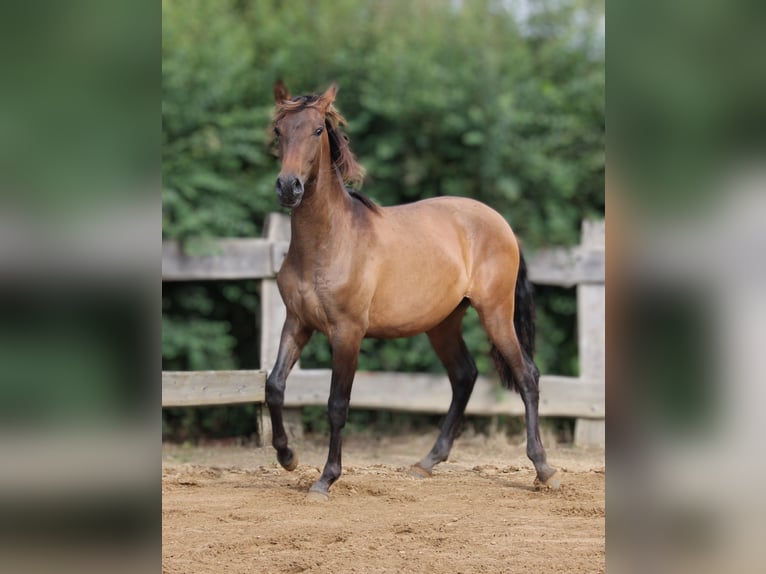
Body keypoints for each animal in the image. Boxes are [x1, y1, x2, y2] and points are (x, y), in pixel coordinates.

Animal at [268, 82, 560, 504]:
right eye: (279, 130)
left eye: (317, 130)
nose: (289, 187)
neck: (328, 243)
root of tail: (500, 223)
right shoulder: (297, 323)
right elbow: (274, 386)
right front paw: (287, 456)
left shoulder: (347, 333)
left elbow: (337, 404)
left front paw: (325, 480)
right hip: (443, 324)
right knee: (465, 376)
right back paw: (428, 462)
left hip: (496, 313)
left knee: (527, 376)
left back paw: (544, 469)